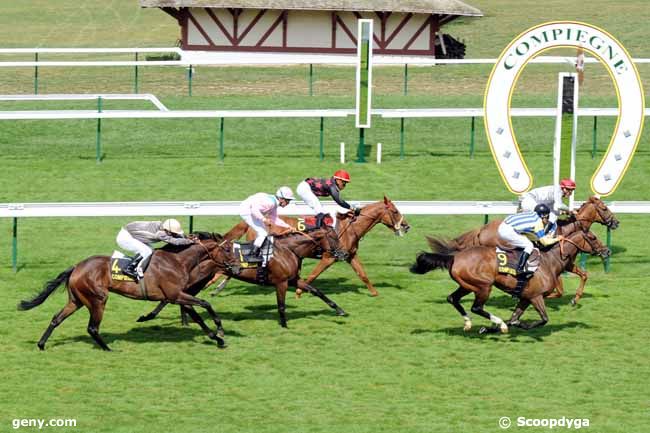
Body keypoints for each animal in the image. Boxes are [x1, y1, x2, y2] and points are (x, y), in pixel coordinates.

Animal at [15, 233, 235, 352]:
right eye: (227, 250)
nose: (236, 267)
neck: (177, 261)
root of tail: (76, 267)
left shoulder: (177, 296)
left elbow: (197, 315)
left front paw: (217, 338)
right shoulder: (175, 295)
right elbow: (205, 304)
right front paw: (220, 331)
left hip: (76, 300)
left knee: (56, 318)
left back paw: (41, 344)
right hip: (98, 298)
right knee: (92, 328)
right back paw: (108, 348)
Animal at [140, 226, 346, 328]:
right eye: (334, 238)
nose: (343, 253)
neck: (289, 249)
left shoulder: (293, 279)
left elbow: (317, 291)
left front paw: (340, 310)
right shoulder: (281, 282)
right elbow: (281, 304)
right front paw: (284, 325)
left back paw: (183, 321)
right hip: (197, 279)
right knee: (172, 297)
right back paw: (151, 316)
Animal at [210, 197, 408, 296]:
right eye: (395, 211)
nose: (406, 226)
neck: (349, 227)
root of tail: (251, 222)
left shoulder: (350, 255)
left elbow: (363, 274)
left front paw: (375, 293)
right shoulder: (329, 257)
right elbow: (313, 274)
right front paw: (298, 291)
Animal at [410, 230, 608, 334]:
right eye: (593, 237)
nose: (606, 251)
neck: (549, 261)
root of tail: (454, 257)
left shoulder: (525, 297)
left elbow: (515, 316)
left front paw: (493, 328)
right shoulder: (536, 296)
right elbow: (543, 319)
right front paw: (518, 325)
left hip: (467, 285)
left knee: (453, 299)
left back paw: (469, 323)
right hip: (483, 286)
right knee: (476, 307)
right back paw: (499, 323)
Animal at [442, 196, 616, 304]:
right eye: (604, 208)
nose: (616, 222)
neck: (566, 230)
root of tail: (481, 230)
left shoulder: (567, 264)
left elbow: (584, 275)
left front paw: (575, 299)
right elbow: (559, 290)